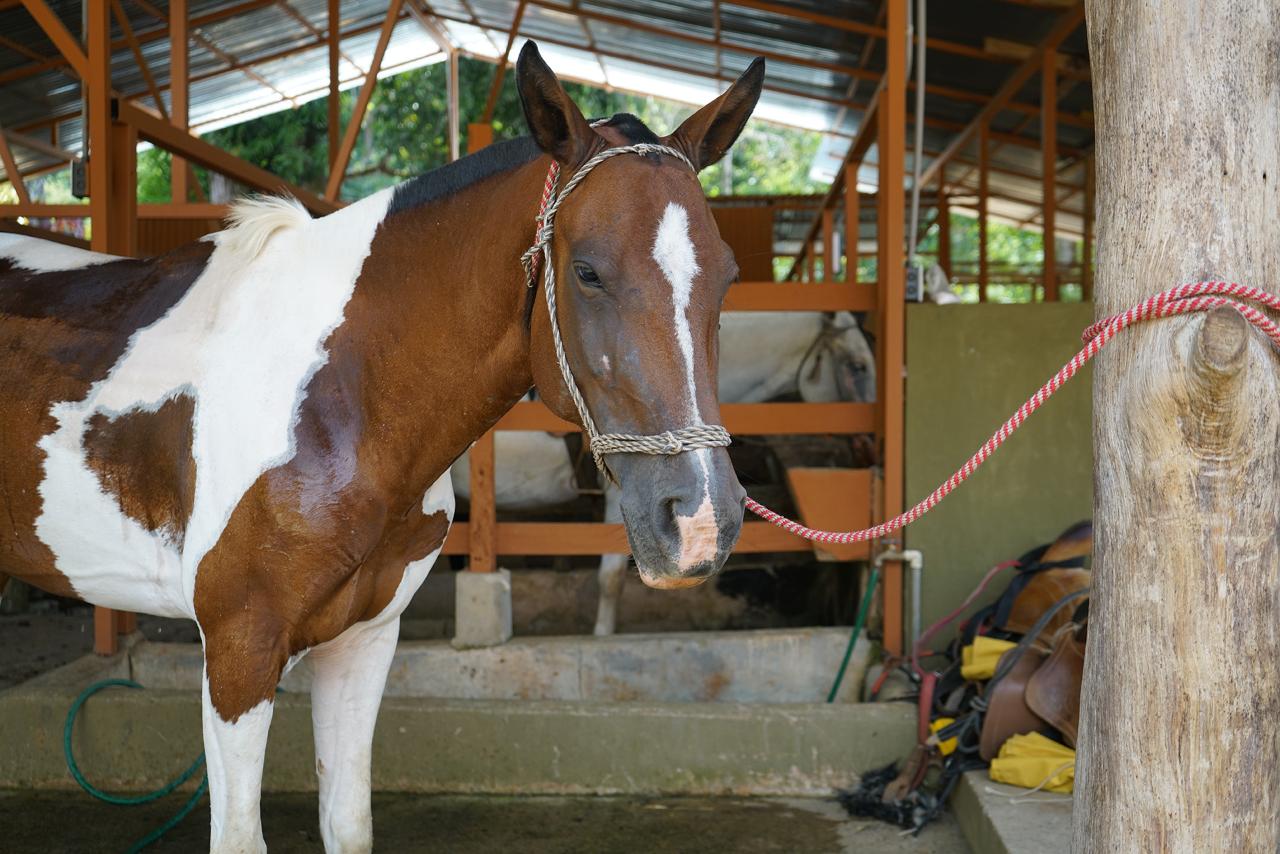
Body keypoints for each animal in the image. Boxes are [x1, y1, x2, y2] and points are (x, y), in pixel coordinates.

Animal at [0, 46, 757, 854]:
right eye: (586, 271)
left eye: (727, 277)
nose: (701, 522)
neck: (339, 394)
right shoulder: (240, 648)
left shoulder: (364, 641)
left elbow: (350, 823)